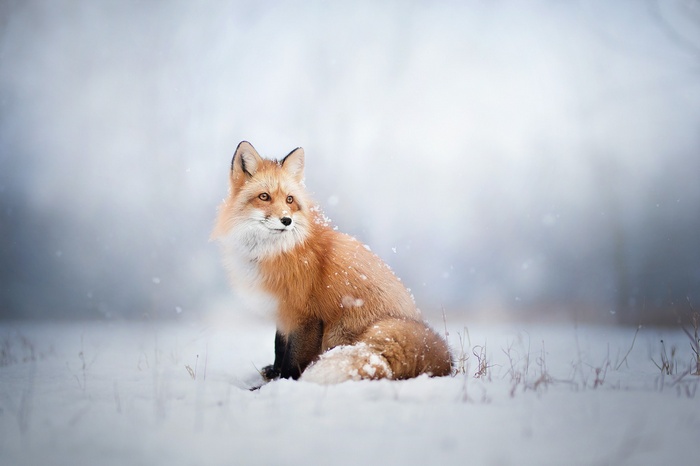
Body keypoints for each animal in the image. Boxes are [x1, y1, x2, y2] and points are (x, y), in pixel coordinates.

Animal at [211, 141, 452, 384]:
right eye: (264, 196)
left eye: (290, 200)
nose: (286, 220)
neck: (276, 251)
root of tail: (442, 361)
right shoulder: (283, 312)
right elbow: (279, 347)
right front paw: (274, 374)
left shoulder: (305, 316)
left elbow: (291, 360)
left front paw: (282, 383)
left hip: (341, 328)